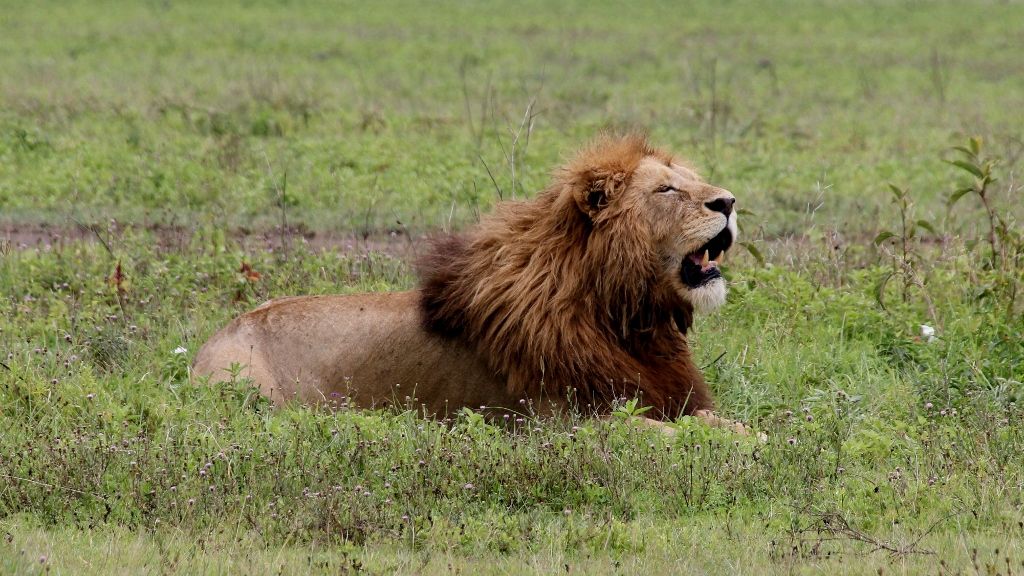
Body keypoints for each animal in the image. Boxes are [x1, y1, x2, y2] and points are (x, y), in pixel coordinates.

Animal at [193, 134, 746, 432]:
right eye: (667, 190)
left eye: (690, 180)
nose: (729, 201)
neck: (629, 318)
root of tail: (206, 345)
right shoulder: (570, 421)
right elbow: (676, 434)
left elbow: (724, 424)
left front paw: (757, 438)